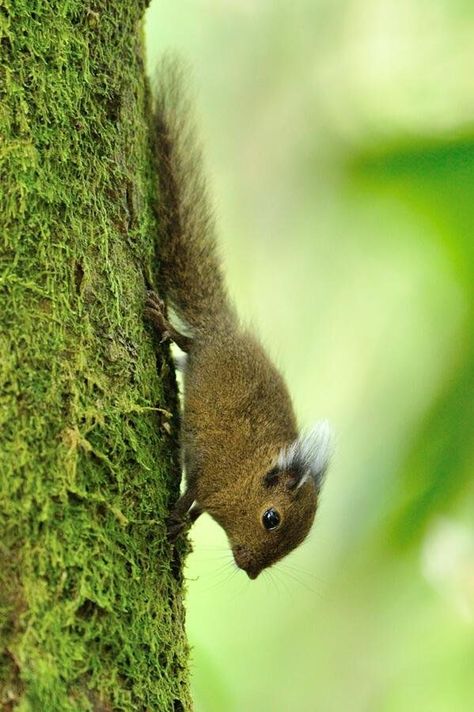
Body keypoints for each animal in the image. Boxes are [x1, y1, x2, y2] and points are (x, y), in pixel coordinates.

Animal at [146, 55, 332, 580]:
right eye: (271, 518)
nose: (250, 571)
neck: (246, 473)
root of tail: (224, 327)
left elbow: (196, 509)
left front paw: (180, 527)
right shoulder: (210, 472)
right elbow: (191, 495)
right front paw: (174, 519)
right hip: (206, 354)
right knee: (188, 344)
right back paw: (163, 323)